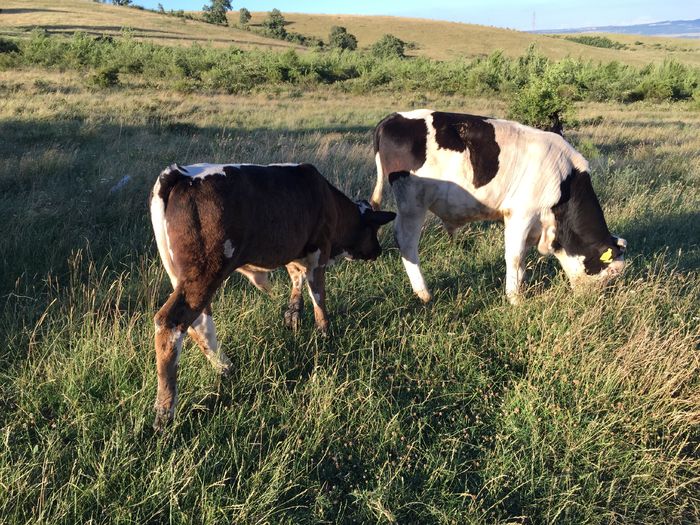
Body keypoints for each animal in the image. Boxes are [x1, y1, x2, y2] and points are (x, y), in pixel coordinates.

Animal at [150, 162, 396, 428]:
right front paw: (324, 335)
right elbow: (319, 298)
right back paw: (165, 412)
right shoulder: (319, 252)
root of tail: (179, 173)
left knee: (199, 323)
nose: (378, 251)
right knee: (171, 323)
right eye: (373, 229)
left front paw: (293, 319)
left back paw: (225, 368)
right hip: (205, 272)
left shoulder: (294, 254)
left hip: (183, 276)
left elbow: (297, 282)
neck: (327, 197)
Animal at [372, 109, 628, 302]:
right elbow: (513, 257)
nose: (595, 301)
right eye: (609, 273)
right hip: (412, 203)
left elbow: (521, 258)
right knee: (406, 241)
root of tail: (394, 118)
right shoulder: (521, 214)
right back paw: (423, 293)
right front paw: (515, 298)